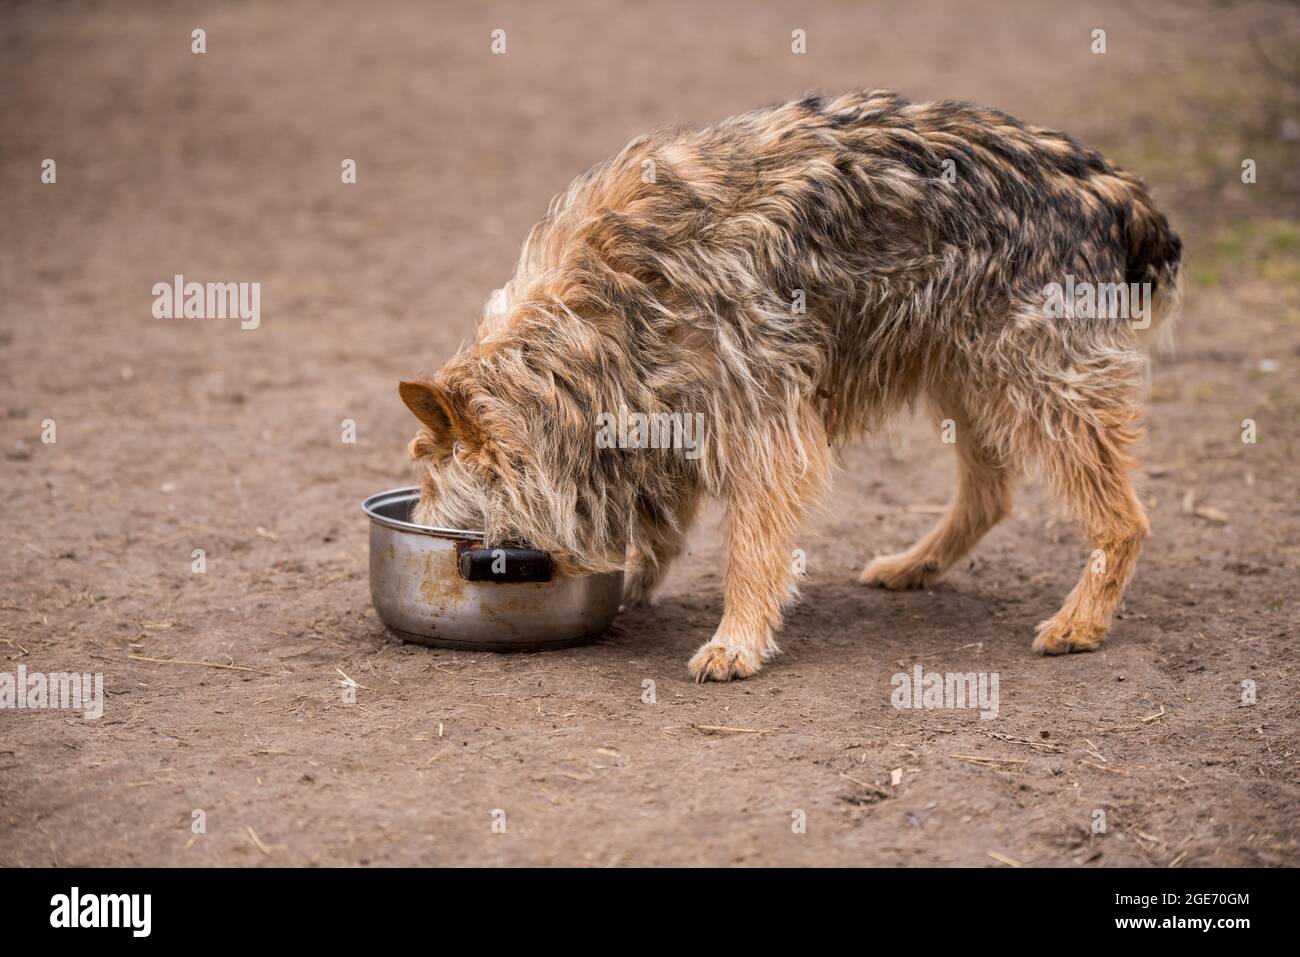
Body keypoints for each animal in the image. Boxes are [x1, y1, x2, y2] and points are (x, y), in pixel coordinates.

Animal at [395, 91, 1180, 681]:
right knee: (991, 495)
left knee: (1124, 519)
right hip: (965, 371)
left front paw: (737, 639)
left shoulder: (763, 422)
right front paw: (640, 582)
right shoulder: (669, 414)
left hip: (1035, 383)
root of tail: (1116, 191)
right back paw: (916, 564)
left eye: (443, 514)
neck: (596, 317)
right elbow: (665, 522)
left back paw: (1081, 621)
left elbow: (751, 547)